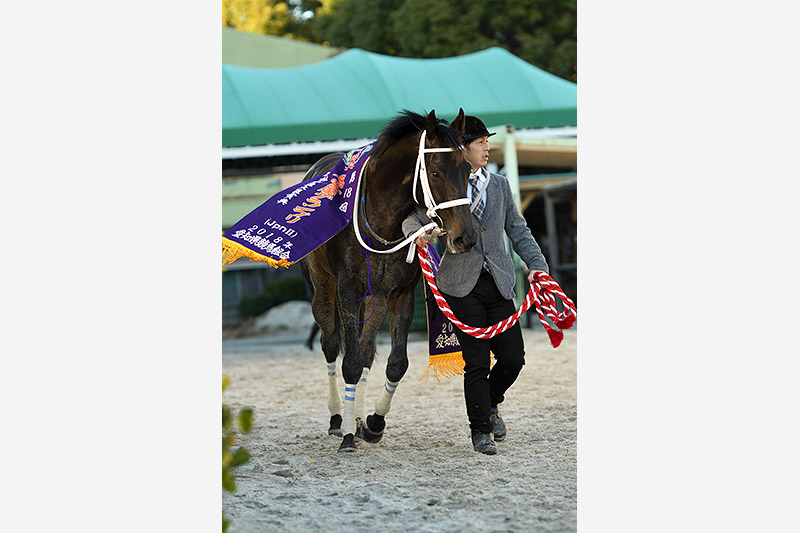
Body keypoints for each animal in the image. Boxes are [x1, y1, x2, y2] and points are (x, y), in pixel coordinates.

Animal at [300, 110, 476, 450]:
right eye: (436, 172)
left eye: (467, 169)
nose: (466, 237)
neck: (381, 218)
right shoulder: (348, 291)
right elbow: (350, 362)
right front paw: (349, 436)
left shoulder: (400, 293)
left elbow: (395, 363)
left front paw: (373, 423)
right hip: (322, 288)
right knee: (331, 344)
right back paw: (338, 419)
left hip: (375, 298)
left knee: (367, 350)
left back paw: (357, 418)